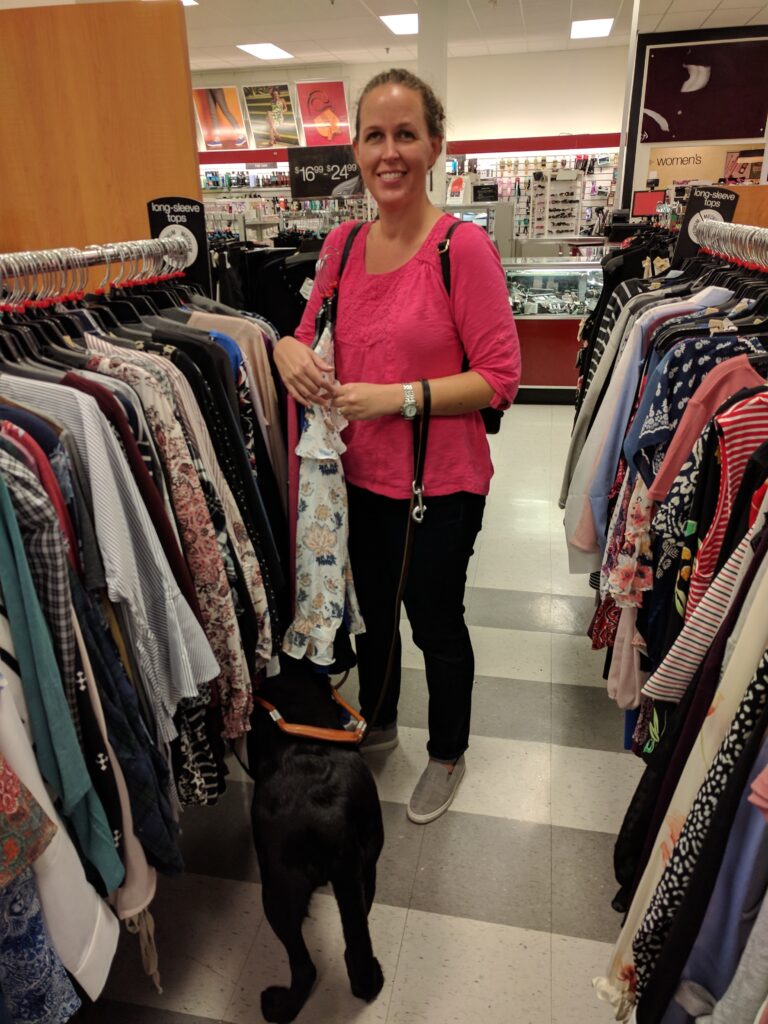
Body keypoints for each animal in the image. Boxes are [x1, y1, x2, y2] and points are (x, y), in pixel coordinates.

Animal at [246, 655, 385, 1024]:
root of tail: (329, 815)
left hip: (277, 891)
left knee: (304, 967)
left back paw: (279, 1005)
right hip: (364, 871)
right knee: (355, 941)